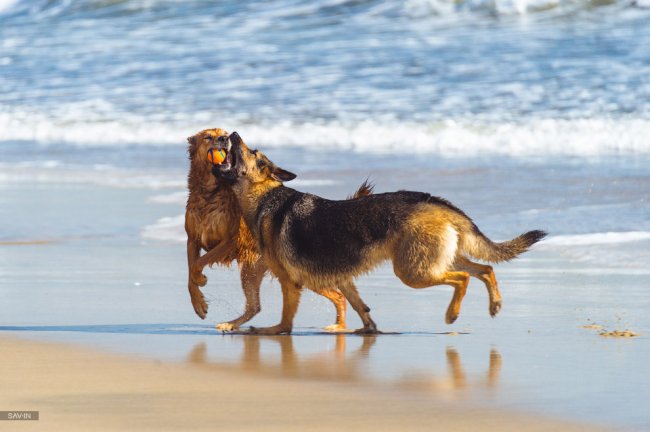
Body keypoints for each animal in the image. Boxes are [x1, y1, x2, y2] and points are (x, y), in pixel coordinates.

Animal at [186, 128, 370, 330]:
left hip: (302, 271)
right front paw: (198, 302)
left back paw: (339, 325)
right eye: (207, 137)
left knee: (339, 296)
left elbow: (199, 263)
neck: (209, 195)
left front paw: (200, 280)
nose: (226, 137)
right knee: (254, 306)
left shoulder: (230, 240)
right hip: (254, 270)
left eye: (223, 133)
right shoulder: (192, 240)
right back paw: (231, 325)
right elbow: (191, 269)